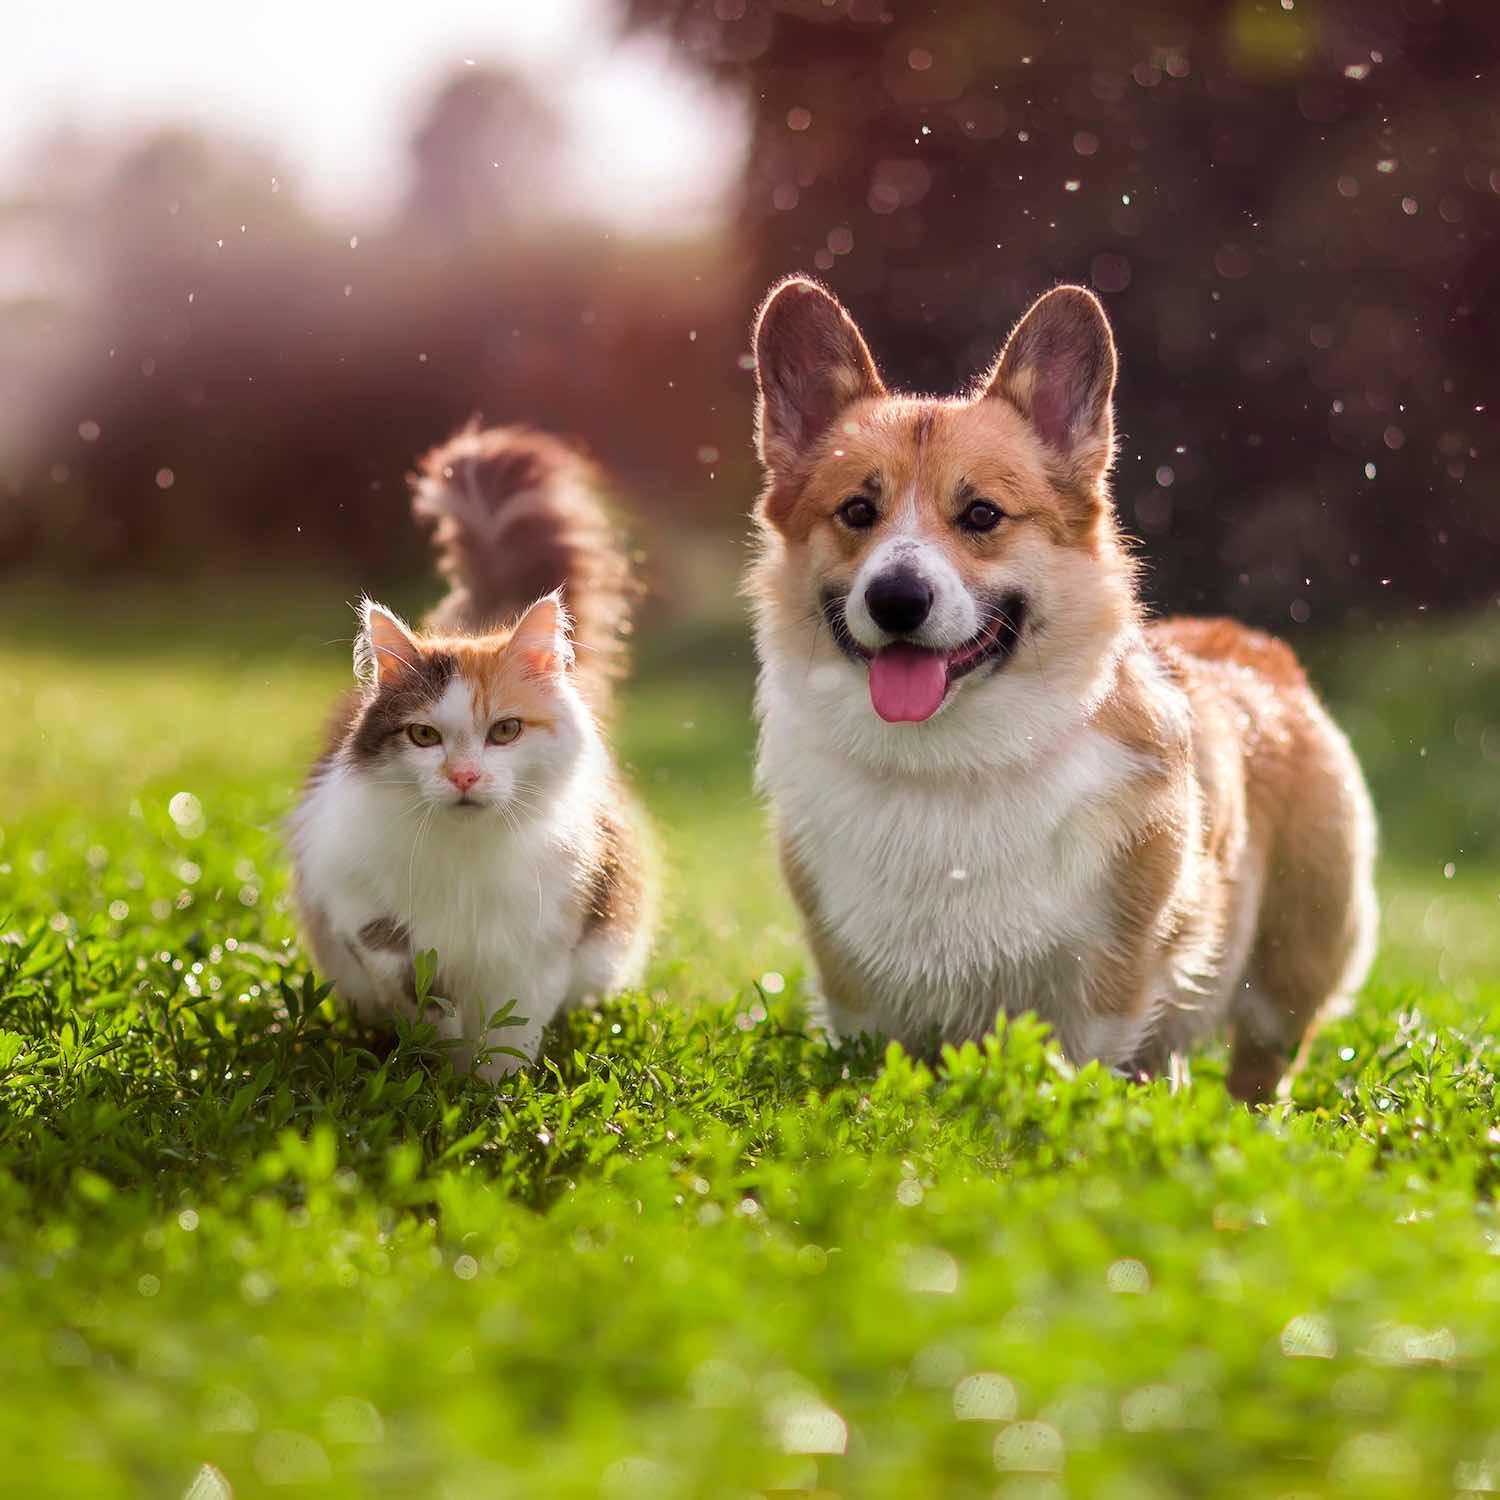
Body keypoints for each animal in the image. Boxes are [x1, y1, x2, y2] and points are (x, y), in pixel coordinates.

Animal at [286, 426, 651, 1080]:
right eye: (424, 737)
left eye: (504, 731)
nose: (463, 776)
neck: (465, 855)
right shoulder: (343, 887)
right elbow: (397, 960)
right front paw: (438, 1042)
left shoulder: (539, 945)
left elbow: (509, 1037)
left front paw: (489, 1095)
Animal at [744, 282, 1374, 1104]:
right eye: (857, 511)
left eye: (982, 514)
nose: (897, 599)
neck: (947, 765)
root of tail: (1256, 646)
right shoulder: (858, 994)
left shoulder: (1106, 986)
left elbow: (1082, 1067)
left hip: (1289, 971)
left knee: (1260, 1067)